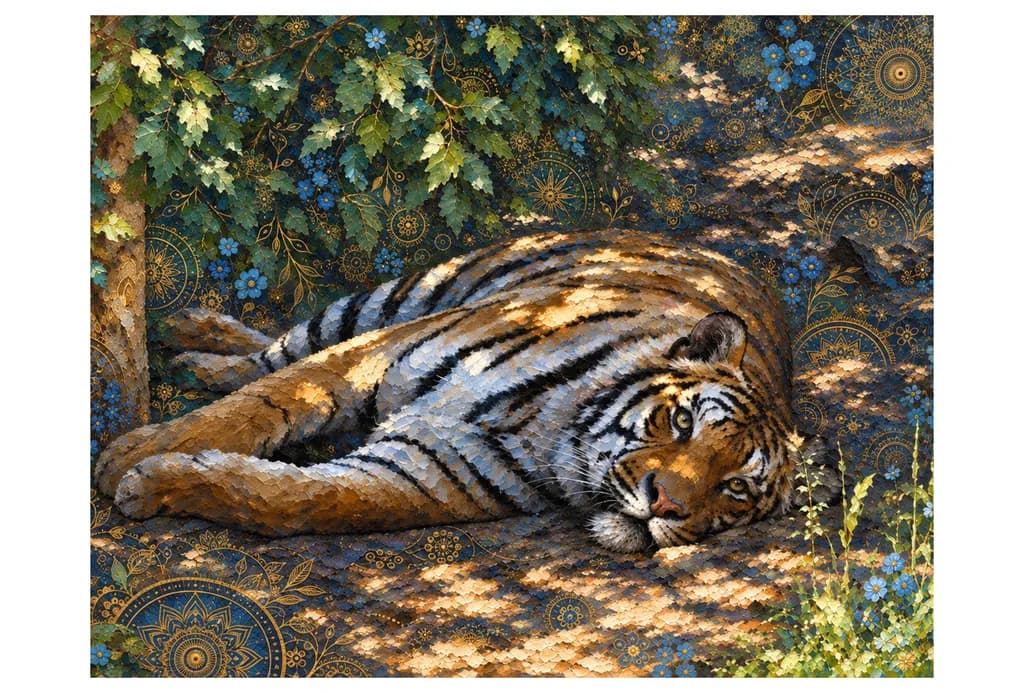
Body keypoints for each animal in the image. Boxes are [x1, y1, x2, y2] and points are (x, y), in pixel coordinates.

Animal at [95, 228, 836, 552]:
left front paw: (157, 484)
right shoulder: (374, 353)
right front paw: (132, 454)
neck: (551, 430)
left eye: (733, 488)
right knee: (275, 350)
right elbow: (269, 400)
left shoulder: (421, 471)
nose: (667, 505)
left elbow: (300, 501)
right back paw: (192, 337)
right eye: (682, 424)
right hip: (401, 297)